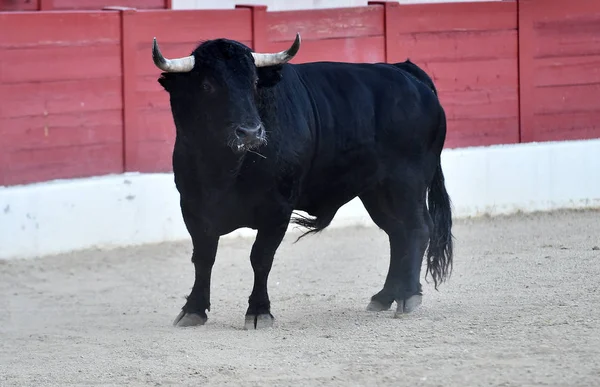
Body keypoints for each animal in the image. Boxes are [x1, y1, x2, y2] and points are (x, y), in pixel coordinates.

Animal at [152, 34, 452, 330]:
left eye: (254, 83)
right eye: (206, 85)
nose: (250, 132)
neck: (225, 168)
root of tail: (406, 72)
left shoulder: (277, 209)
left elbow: (260, 257)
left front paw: (259, 312)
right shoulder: (193, 207)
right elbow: (203, 258)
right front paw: (193, 310)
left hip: (408, 183)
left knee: (417, 229)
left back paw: (408, 297)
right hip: (377, 192)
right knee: (397, 233)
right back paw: (385, 296)